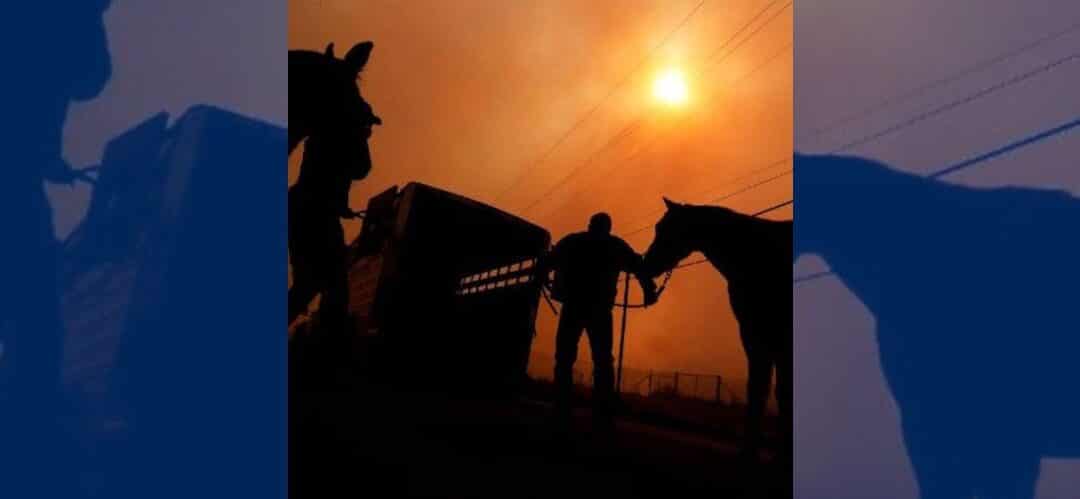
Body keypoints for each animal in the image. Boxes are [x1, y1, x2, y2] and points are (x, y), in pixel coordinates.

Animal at [639, 197, 794, 460]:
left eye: (665, 229)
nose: (647, 263)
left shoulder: (770, 334)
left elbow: (775, 390)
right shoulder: (761, 334)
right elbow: (763, 388)